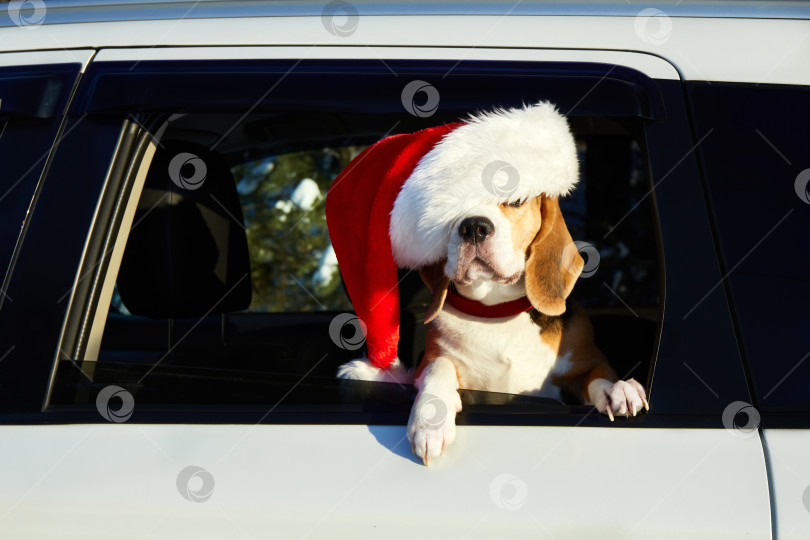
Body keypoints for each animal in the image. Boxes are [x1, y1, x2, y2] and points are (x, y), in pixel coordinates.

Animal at [408, 194, 648, 464]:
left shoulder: (586, 360)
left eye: (515, 201)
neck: (497, 312)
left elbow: (599, 374)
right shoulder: (428, 361)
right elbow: (438, 365)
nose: (474, 227)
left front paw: (618, 390)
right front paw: (430, 419)